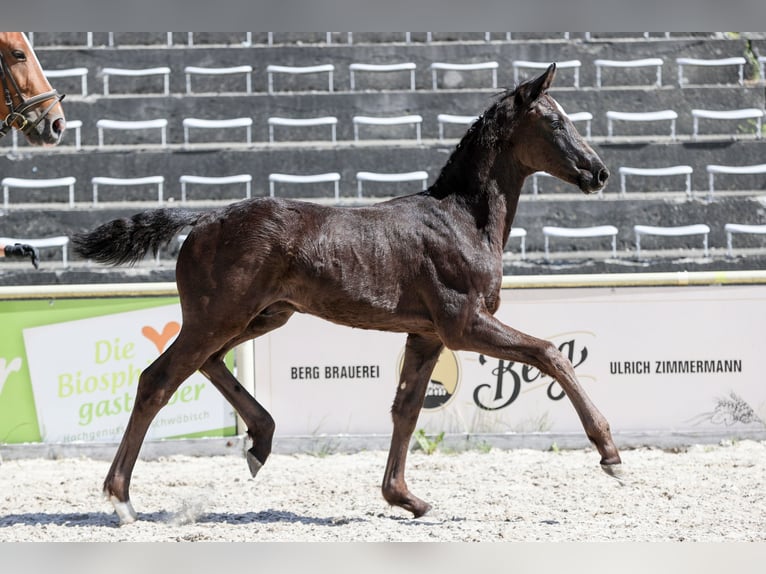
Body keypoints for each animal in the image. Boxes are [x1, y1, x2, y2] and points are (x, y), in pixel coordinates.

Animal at [73, 63, 622, 526]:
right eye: (555, 122)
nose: (599, 172)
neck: (463, 220)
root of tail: (206, 216)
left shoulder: (426, 334)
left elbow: (407, 408)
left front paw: (405, 498)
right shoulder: (463, 324)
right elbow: (550, 353)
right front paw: (610, 455)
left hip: (261, 316)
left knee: (208, 363)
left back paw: (260, 441)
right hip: (220, 316)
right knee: (158, 380)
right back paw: (122, 499)